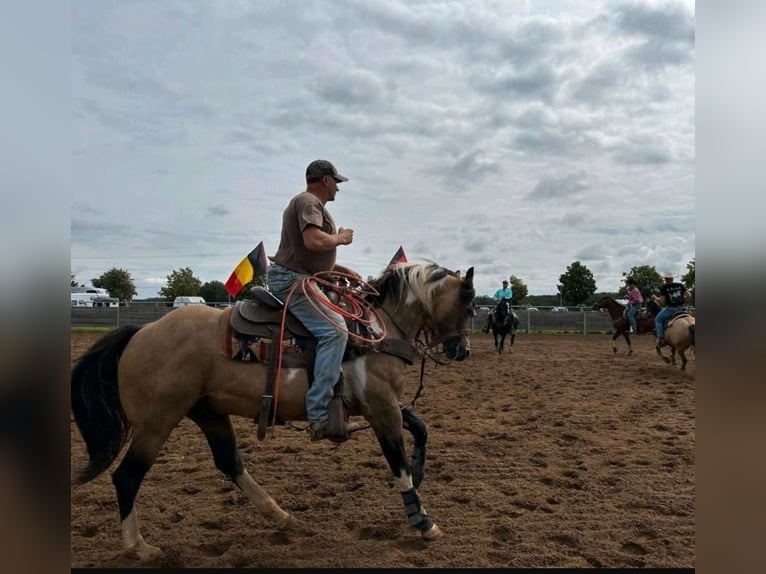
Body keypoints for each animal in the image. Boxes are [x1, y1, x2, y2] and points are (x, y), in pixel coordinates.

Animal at [73, 264, 480, 560]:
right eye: (467, 306)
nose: (462, 351)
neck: (376, 332)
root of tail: (141, 333)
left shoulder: (382, 405)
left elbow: (422, 429)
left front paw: (421, 471)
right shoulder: (382, 408)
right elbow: (398, 464)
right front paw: (422, 521)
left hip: (207, 412)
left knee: (229, 462)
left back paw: (280, 515)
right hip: (157, 422)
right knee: (127, 476)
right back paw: (139, 547)